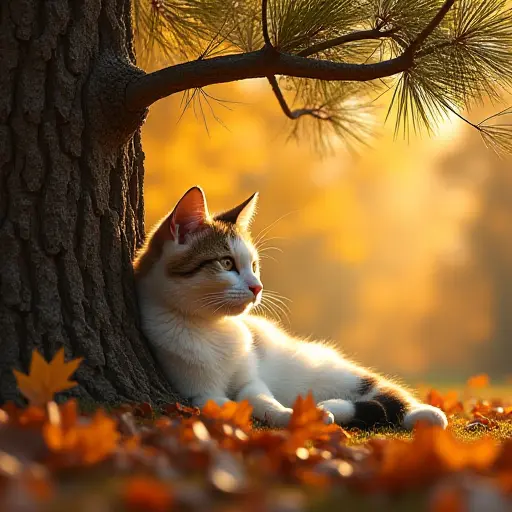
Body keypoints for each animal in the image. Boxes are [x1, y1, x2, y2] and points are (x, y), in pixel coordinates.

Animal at [135, 186, 448, 430]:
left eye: (254, 266)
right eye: (226, 263)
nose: (257, 287)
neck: (212, 328)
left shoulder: (251, 379)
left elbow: (261, 397)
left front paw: (288, 415)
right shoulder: (195, 391)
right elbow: (223, 404)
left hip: (318, 368)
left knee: (379, 388)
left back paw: (424, 413)